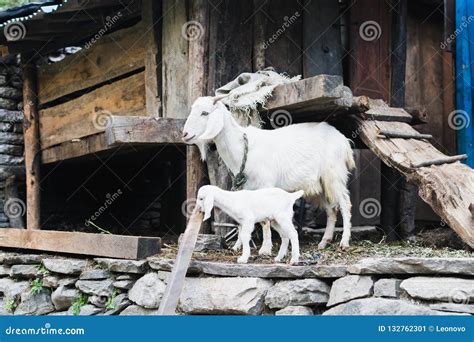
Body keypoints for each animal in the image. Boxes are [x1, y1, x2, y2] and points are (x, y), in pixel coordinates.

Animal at [183, 97, 354, 251]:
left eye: (205, 113)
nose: (185, 134)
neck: (243, 148)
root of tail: (343, 140)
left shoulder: (265, 185)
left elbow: (265, 220)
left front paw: (265, 248)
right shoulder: (244, 188)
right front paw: (237, 246)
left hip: (334, 175)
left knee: (345, 203)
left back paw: (344, 242)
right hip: (319, 184)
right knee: (331, 210)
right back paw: (324, 242)